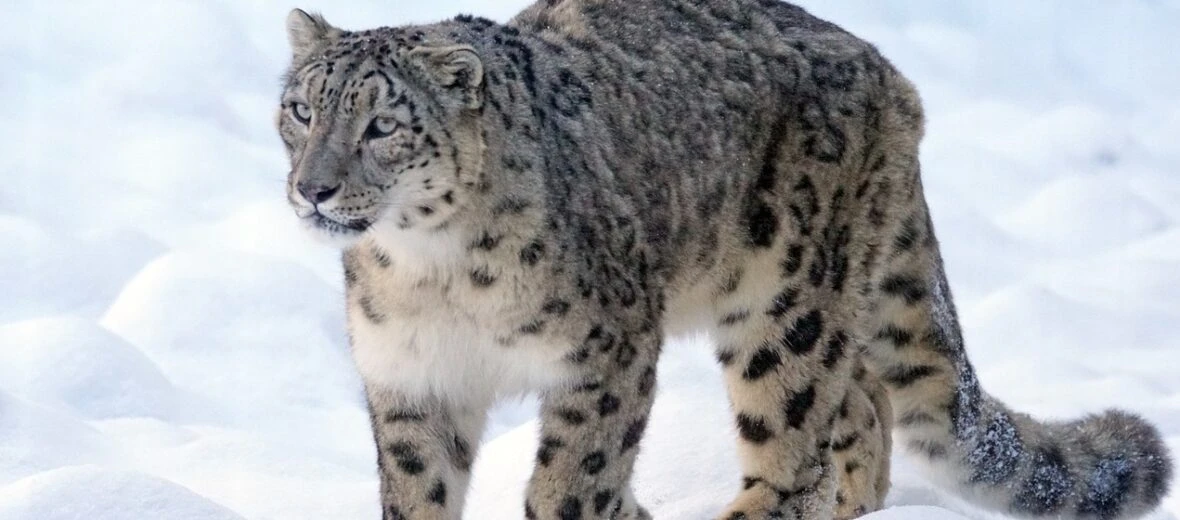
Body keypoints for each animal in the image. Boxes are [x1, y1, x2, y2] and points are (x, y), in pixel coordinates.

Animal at [274, 1, 1173, 519]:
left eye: (383, 125)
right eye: (301, 109)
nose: (314, 188)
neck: (430, 271)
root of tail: (889, 73)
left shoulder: (605, 355)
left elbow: (573, 479)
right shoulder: (412, 380)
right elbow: (418, 491)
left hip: (788, 302)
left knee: (796, 445)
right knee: (863, 403)